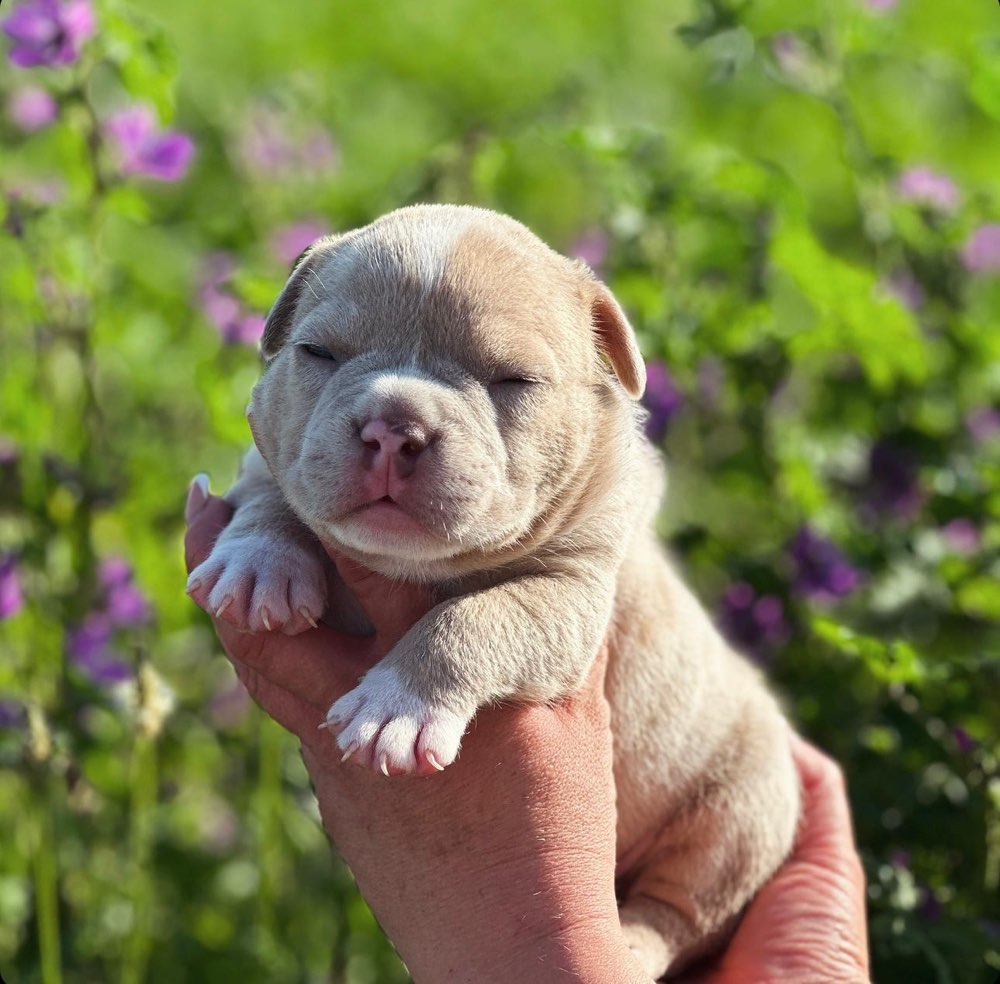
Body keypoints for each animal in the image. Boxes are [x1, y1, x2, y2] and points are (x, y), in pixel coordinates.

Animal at [186, 204, 796, 980]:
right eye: (318, 353)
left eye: (513, 380)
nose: (393, 426)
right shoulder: (278, 449)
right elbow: (270, 485)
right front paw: (259, 559)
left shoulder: (573, 590)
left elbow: (477, 615)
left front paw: (399, 708)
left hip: (742, 814)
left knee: (683, 906)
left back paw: (632, 941)